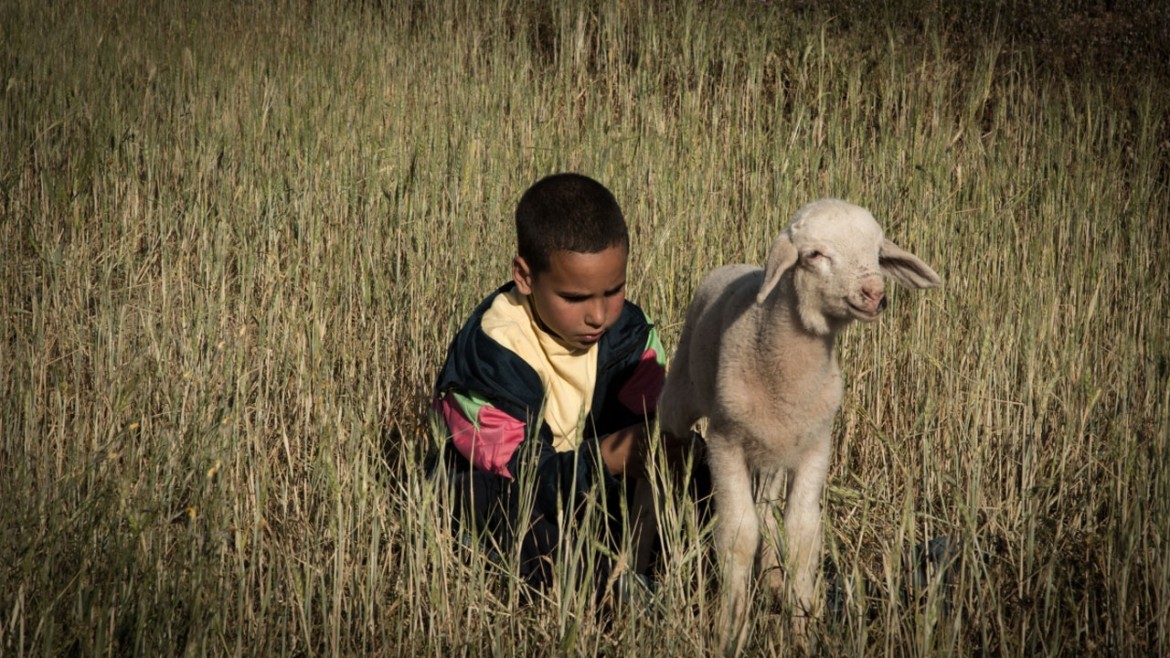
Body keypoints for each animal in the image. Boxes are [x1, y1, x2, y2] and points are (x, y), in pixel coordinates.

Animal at [659, 199, 940, 650]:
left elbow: (802, 535)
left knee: (767, 508)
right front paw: (731, 630)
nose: (874, 294)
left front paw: (801, 626)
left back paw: (774, 579)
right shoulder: (725, 442)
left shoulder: (814, 446)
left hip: (775, 452)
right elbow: (739, 535)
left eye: (877, 253)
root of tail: (736, 265)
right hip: (681, 396)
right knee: (669, 434)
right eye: (815, 255)